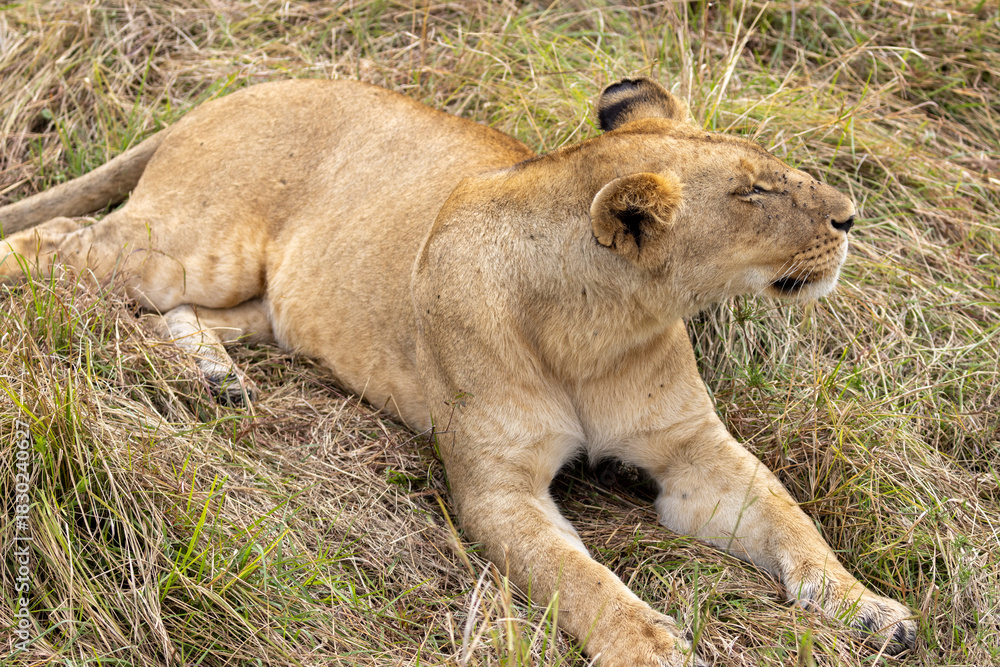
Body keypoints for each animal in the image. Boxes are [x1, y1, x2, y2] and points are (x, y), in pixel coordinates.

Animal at [0, 77, 916, 665]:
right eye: (755, 192)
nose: (850, 215)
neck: (601, 325)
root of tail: (225, 93)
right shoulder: (496, 489)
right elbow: (579, 577)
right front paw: (650, 644)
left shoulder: (691, 449)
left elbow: (788, 516)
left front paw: (867, 607)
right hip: (181, 247)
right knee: (56, 246)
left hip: (269, 299)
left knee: (184, 315)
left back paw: (213, 374)